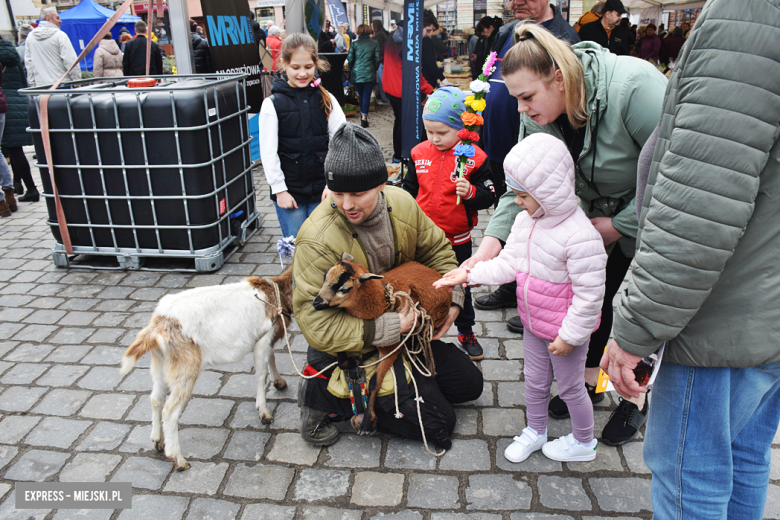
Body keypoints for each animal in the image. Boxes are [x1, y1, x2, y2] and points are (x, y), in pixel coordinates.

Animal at [119, 270, 292, 470]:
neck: (276, 291)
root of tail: (158, 325)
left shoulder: (267, 340)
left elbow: (271, 358)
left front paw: (279, 382)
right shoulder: (262, 339)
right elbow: (261, 374)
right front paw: (264, 412)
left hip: (160, 363)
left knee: (156, 398)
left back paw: (158, 440)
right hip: (185, 367)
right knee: (169, 411)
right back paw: (178, 459)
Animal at [310, 256, 448, 430]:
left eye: (343, 288)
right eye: (324, 278)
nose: (316, 302)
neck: (379, 300)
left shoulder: (392, 349)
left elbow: (374, 382)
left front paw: (368, 421)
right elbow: (342, 358)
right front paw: (351, 361)